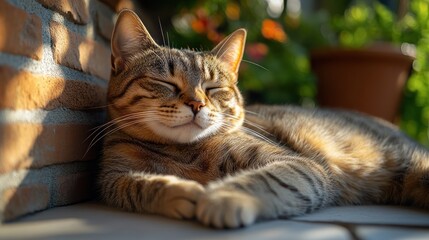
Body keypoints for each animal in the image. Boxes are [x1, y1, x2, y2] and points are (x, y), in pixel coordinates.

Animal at [97, 8, 428, 228]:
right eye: (166, 83)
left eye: (213, 88)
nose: (196, 104)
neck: (182, 152)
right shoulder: (112, 178)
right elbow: (138, 185)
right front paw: (181, 190)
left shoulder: (299, 164)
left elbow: (265, 180)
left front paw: (224, 196)